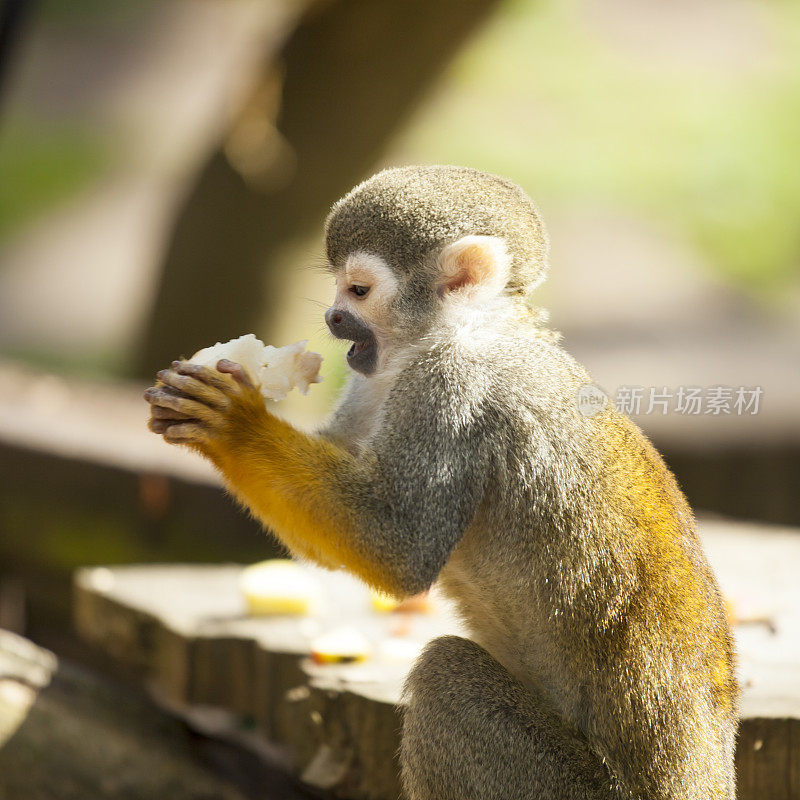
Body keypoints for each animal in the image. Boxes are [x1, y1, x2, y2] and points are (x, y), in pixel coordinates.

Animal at [145, 166, 736, 796]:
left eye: (358, 290)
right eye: (339, 292)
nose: (332, 319)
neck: (464, 330)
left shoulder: (452, 389)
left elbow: (398, 550)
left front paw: (233, 425)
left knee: (443, 674)